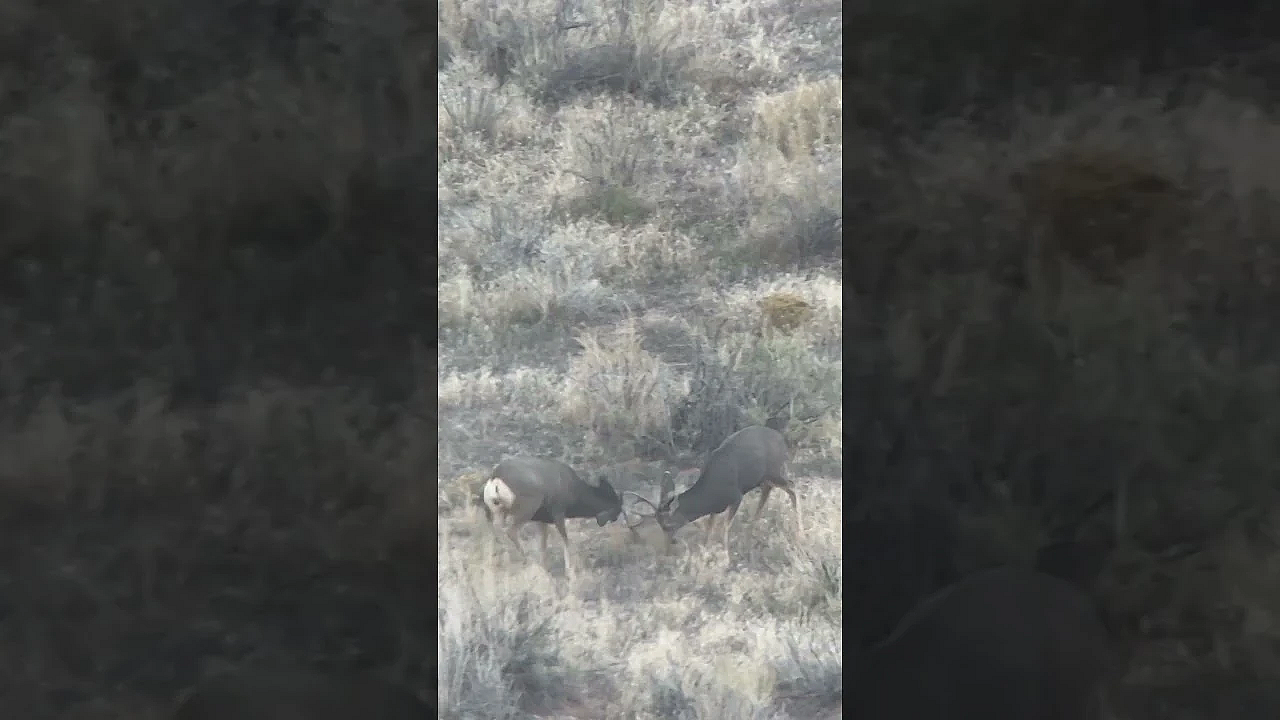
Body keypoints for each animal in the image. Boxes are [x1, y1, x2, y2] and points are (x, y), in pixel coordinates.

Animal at [481, 456, 632, 576]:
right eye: (617, 510)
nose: (614, 519)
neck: (575, 491)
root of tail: (496, 478)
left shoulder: (541, 520)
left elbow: (543, 544)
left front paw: (545, 567)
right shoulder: (558, 512)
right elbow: (565, 540)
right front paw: (568, 570)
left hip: (498, 511)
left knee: (495, 530)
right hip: (528, 507)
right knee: (510, 531)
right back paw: (526, 559)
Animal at [628, 424, 800, 557]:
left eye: (668, 525)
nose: (668, 547)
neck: (710, 496)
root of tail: (782, 439)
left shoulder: (736, 496)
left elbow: (724, 527)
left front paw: (726, 556)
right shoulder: (715, 510)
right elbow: (708, 530)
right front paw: (705, 552)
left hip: (775, 470)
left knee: (792, 488)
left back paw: (798, 530)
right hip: (765, 478)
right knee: (768, 492)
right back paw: (751, 533)